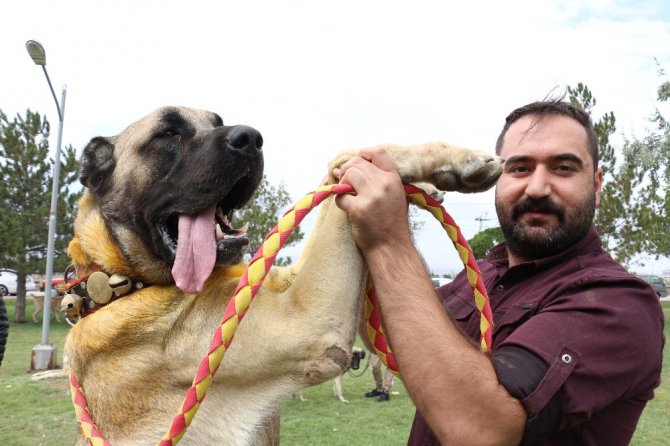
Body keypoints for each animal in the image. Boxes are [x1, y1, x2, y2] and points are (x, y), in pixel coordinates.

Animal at [64, 106, 504, 444]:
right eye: (167, 133)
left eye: (218, 120)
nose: (251, 139)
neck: (126, 282)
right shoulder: (308, 320)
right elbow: (343, 159)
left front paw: (444, 172)